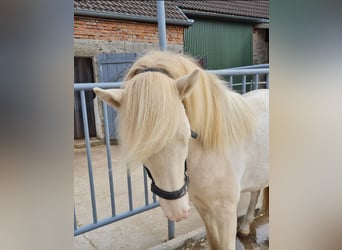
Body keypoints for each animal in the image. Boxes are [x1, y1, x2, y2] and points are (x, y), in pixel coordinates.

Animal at [93, 50, 268, 250]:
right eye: (140, 147)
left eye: (185, 134)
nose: (176, 211)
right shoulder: (203, 207)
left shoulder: (227, 213)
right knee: (256, 191)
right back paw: (246, 227)